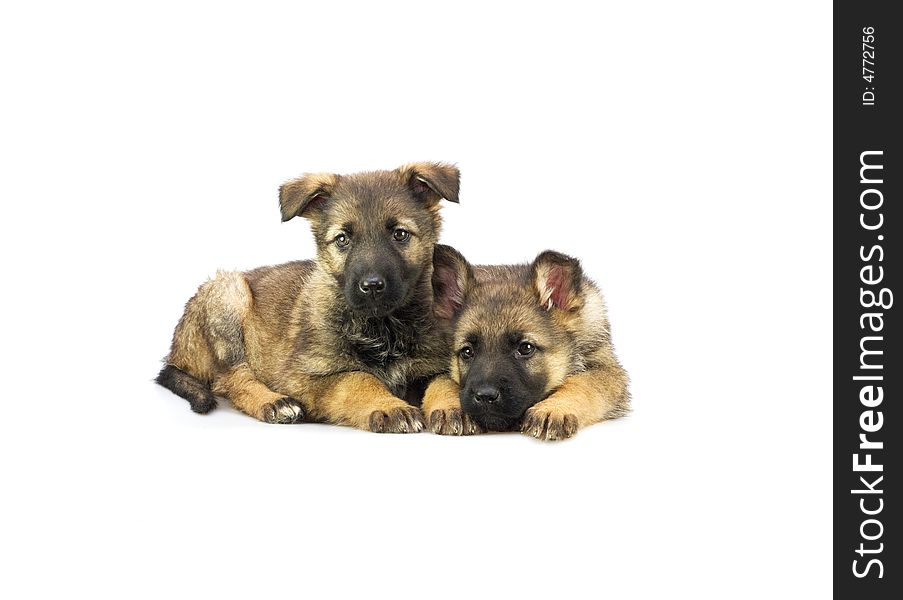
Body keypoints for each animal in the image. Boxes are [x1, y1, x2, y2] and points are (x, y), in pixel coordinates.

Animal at [156, 162, 462, 432]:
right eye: (342, 239)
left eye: (400, 234)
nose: (372, 286)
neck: (383, 326)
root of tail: (175, 353)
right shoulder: (302, 377)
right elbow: (357, 378)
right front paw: (389, 406)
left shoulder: (430, 364)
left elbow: (445, 380)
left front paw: (453, 407)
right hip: (229, 295)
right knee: (232, 379)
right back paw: (274, 402)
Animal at [422, 246, 628, 438]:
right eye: (467, 352)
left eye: (526, 348)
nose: (485, 396)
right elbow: (440, 381)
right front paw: (451, 406)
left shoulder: (608, 369)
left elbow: (584, 383)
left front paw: (553, 409)